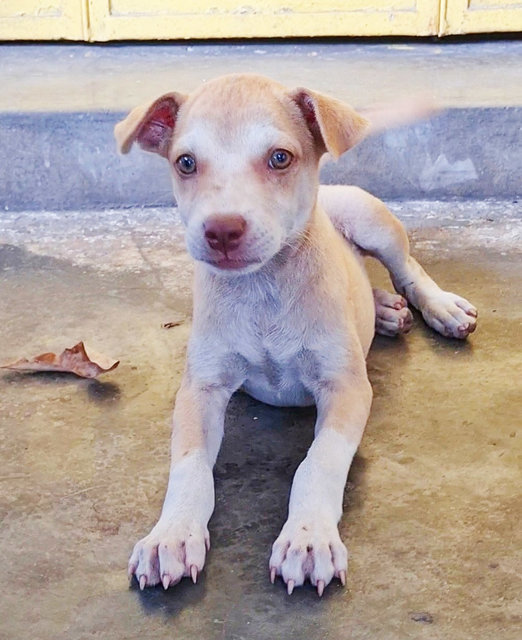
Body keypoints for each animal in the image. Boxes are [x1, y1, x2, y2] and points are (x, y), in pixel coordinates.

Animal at [115, 72, 476, 596]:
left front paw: (308, 538)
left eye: (280, 158)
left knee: (408, 268)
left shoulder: (347, 387)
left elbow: (318, 462)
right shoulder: (201, 388)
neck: (264, 287)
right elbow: (189, 465)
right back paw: (385, 311)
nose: (221, 230)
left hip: (370, 219)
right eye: (185, 162)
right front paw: (173, 533)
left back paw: (439, 307)